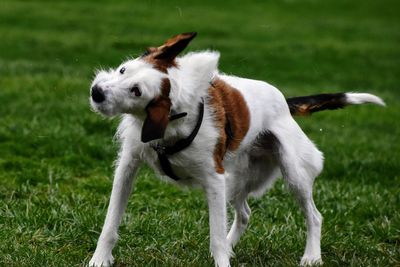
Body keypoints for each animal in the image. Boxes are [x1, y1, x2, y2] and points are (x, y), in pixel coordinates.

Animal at [88, 32, 384, 266]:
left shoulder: (214, 178)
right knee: (244, 215)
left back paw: (311, 256)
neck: (173, 116)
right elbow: (110, 223)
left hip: (293, 173)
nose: (97, 92)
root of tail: (284, 102)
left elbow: (216, 236)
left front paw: (221, 258)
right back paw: (234, 247)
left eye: (136, 91)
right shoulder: (128, 166)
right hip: (237, 179)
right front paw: (99, 260)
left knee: (314, 216)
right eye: (123, 70)